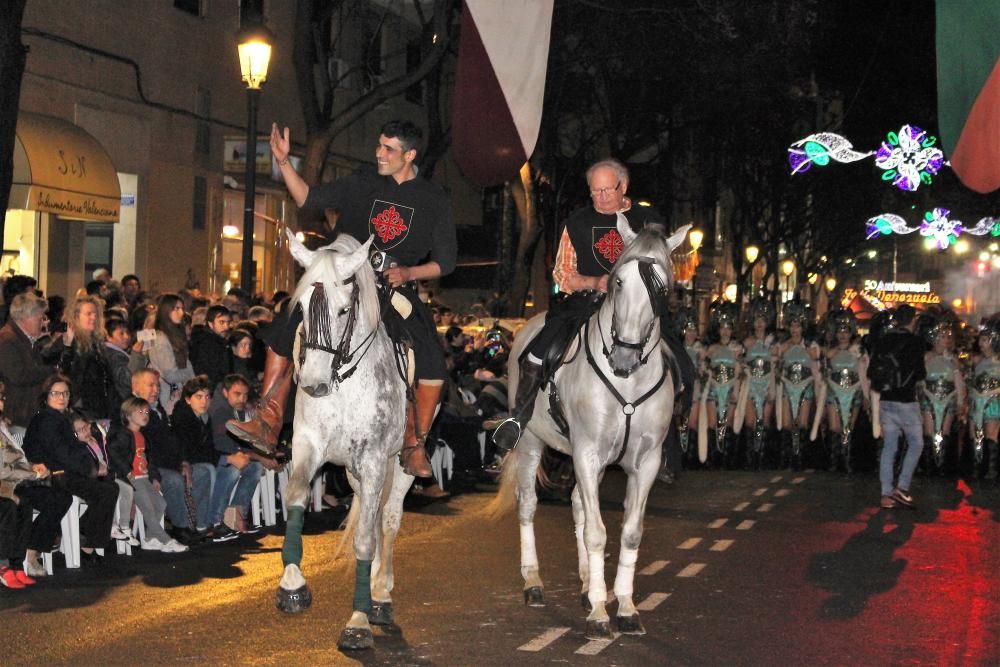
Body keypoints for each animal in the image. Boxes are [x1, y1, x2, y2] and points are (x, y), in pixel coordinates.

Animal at [276, 230, 412, 652]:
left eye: (342, 310)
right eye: (302, 308)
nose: (314, 385)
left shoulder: (373, 461)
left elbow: (366, 539)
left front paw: (358, 620)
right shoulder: (308, 445)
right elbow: (296, 496)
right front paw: (292, 584)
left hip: (400, 464)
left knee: (388, 519)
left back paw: (380, 595)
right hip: (354, 472)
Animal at [494, 217, 688, 640]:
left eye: (662, 287)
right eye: (618, 282)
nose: (624, 356)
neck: (628, 382)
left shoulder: (644, 462)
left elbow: (628, 531)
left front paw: (625, 607)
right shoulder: (587, 452)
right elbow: (598, 533)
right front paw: (600, 613)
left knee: (579, 506)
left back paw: (586, 585)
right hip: (531, 443)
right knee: (528, 505)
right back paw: (533, 582)